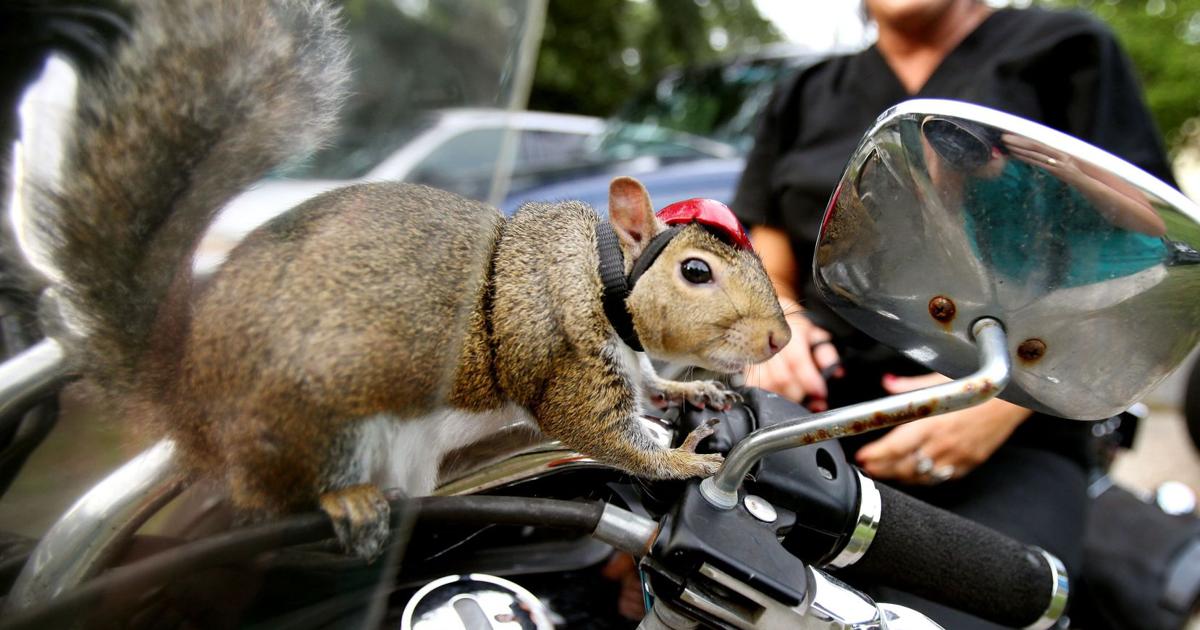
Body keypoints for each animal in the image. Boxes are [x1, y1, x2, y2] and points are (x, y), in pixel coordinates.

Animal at [23, 0, 791, 559]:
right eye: (696, 271)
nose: (782, 339)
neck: (607, 283)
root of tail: (187, 400)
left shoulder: (626, 361)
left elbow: (651, 385)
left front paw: (692, 391)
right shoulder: (564, 362)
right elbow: (602, 437)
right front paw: (689, 462)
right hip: (315, 419)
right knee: (289, 489)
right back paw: (346, 501)